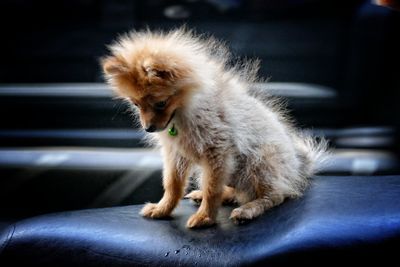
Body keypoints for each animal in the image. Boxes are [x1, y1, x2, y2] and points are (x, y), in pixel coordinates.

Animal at [101, 28, 328, 229]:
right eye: (136, 104)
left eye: (161, 103)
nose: (148, 128)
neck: (186, 111)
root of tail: (298, 167)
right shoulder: (176, 153)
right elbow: (173, 185)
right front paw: (163, 209)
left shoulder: (217, 153)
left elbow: (212, 190)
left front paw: (205, 218)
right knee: (238, 191)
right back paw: (214, 196)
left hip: (261, 161)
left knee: (274, 195)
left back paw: (248, 209)